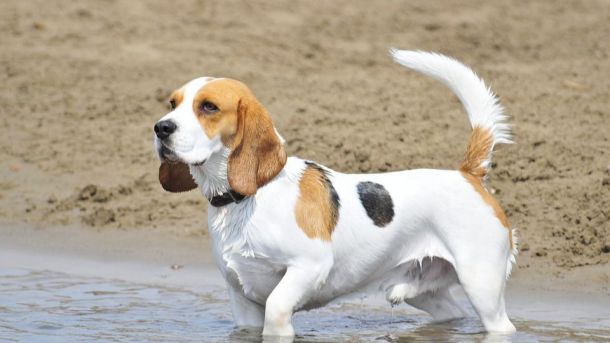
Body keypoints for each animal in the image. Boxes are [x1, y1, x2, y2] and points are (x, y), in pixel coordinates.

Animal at [154, 49, 516, 338]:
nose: (161, 128)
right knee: (453, 314)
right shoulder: (242, 302)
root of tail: (468, 174)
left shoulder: (308, 268)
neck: (248, 199)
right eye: (173, 103)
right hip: (422, 291)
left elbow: (276, 307)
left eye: (209, 107)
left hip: (481, 285)